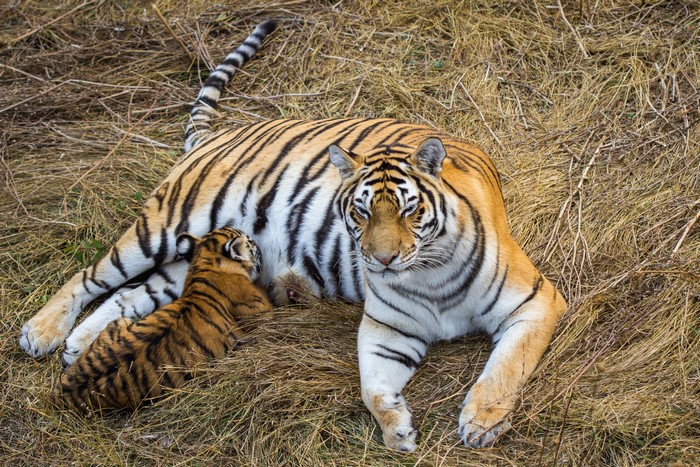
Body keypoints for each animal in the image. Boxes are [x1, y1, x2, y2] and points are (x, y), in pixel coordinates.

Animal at [57, 227, 271, 412]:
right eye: (251, 243)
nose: (258, 242)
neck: (206, 263)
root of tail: (62, 391)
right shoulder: (259, 310)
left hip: (119, 323)